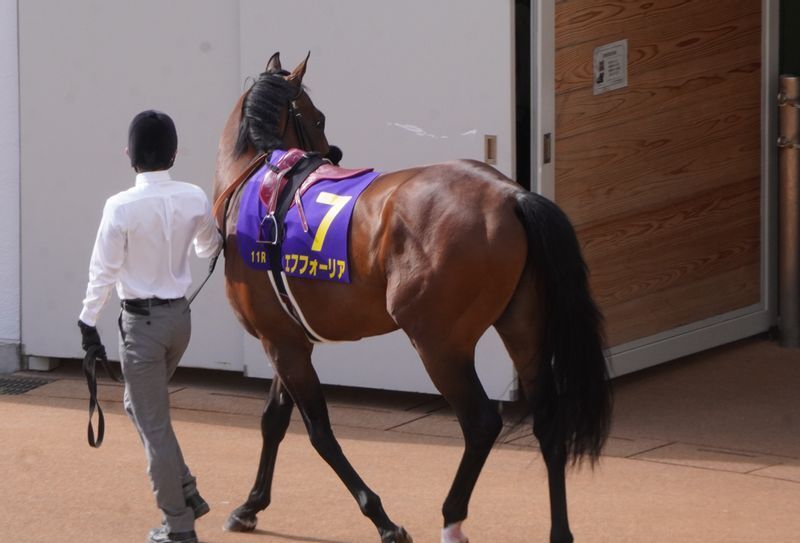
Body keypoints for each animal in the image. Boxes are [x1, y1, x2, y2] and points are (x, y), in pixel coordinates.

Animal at [212, 54, 612, 543]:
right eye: (318, 118)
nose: (333, 153)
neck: (264, 183)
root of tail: (510, 194)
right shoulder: (287, 338)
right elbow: (274, 420)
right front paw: (250, 506)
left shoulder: (281, 343)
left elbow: (318, 432)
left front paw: (382, 519)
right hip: (525, 330)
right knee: (548, 421)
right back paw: (558, 531)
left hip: (439, 344)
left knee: (481, 423)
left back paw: (452, 517)